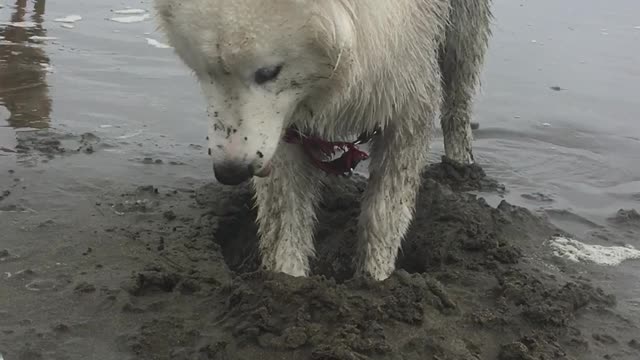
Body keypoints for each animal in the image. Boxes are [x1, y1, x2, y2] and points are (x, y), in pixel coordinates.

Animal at [152, 0, 492, 280]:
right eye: (204, 71)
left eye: (268, 72)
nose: (230, 171)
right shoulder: (282, 131)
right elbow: (285, 217)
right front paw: (287, 280)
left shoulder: (407, 101)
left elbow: (385, 211)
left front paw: (376, 279)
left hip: (464, 28)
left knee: (459, 90)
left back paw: (460, 163)